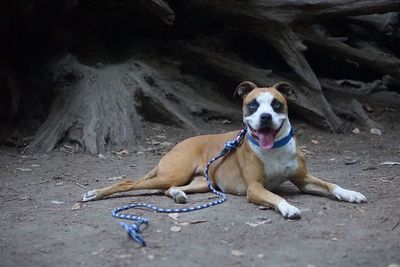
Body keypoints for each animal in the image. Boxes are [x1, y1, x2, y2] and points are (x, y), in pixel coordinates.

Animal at [80, 81, 366, 220]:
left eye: (276, 104)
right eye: (252, 105)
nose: (264, 117)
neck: (273, 149)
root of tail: (178, 144)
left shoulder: (304, 179)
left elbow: (331, 184)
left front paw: (350, 193)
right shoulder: (255, 188)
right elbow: (276, 196)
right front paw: (288, 208)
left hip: (200, 183)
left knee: (168, 189)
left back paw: (178, 196)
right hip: (174, 173)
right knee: (130, 183)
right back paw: (94, 193)